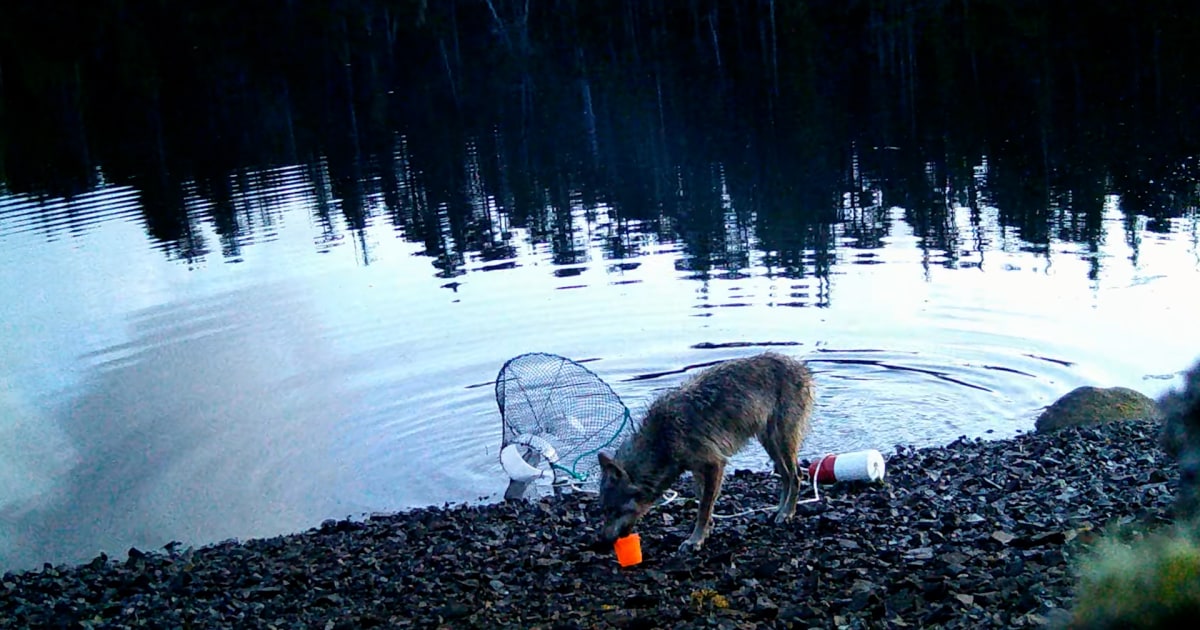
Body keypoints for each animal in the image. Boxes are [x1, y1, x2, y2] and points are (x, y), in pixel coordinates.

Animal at [597, 352, 816, 552]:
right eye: (604, 511)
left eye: (612, 511)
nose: (602, 542)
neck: (662, 439)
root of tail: (802, 367)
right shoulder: (698, 469)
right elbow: (703, 499)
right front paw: (707, 531)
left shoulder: (715, 464)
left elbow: (703, 507)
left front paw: (695, 540)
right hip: (770, 444)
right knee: (786, 475)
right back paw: (780, 510)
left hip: (781, 441)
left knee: (797, 475)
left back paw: (787, 513)